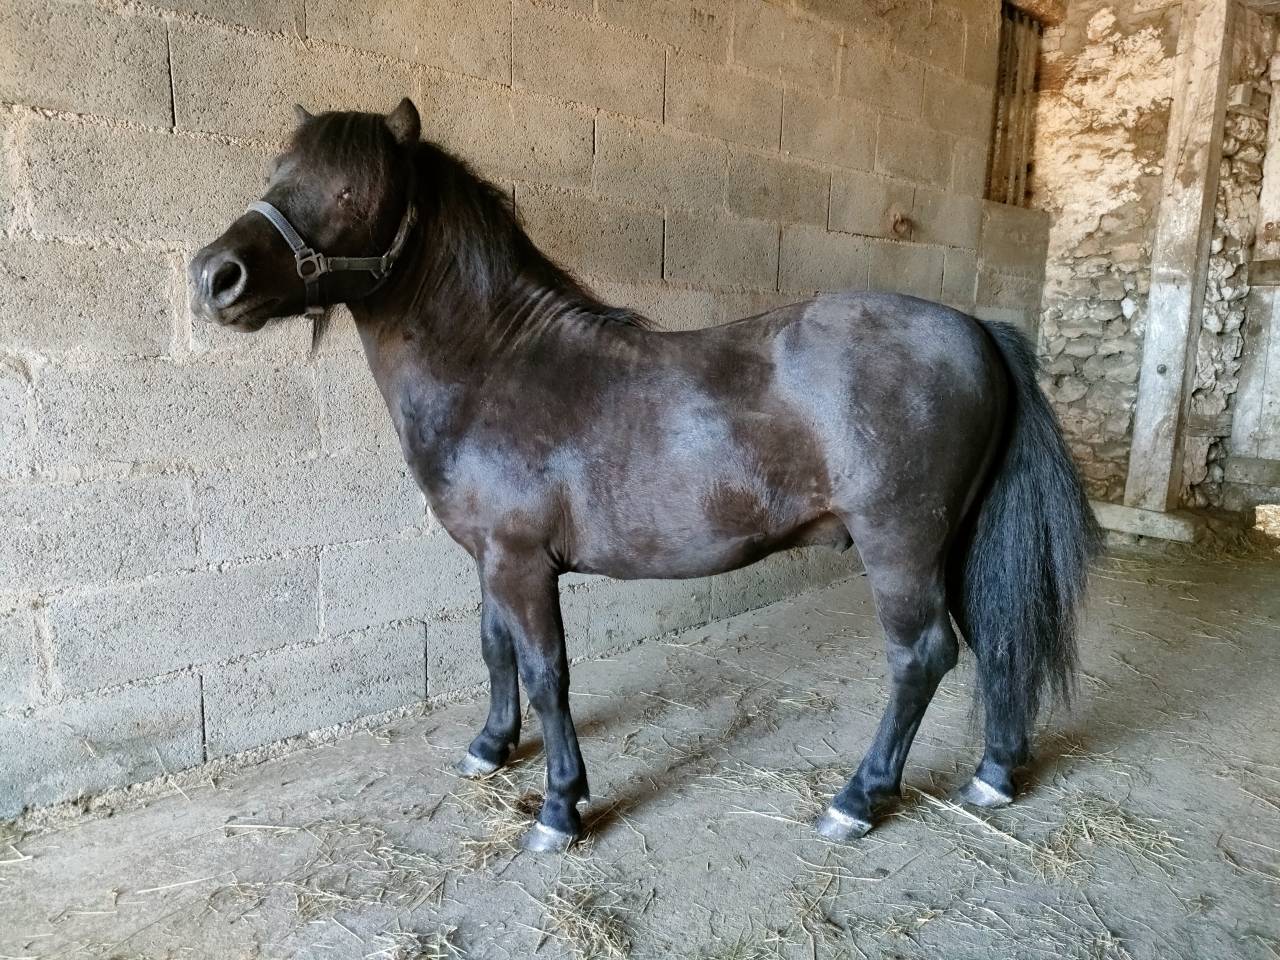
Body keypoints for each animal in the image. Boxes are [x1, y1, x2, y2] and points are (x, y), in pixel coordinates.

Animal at [189, 98, 1099, 853]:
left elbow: (546, 674)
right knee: (992, 635)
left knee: (921, 656)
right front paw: (489, 749)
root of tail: (975, 330)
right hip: (954, 541)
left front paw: (559, 808)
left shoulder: (522, 563)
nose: (213, 276)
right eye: (277, 174)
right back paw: (994, 774)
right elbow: (493, 650)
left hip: (900, 546)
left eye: (352, 190)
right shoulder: (490, 558)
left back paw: (857, 800)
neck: (496, 366)